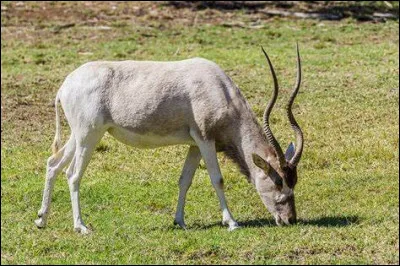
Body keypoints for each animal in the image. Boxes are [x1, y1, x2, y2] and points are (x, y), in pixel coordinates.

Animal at [35, 44, 304, 234]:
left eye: (293, 183)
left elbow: (185, 180)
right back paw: (80, 226)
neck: (220, 90)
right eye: (278, 182)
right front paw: (231, 222)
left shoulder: (195, 145)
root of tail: (65, 86)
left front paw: (180, 221)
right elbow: (217, 179)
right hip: (89, 135)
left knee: (53, 164)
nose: (289, 219)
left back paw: (41, 219)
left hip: (79, 136)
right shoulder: (205, 139)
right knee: (72, 174)